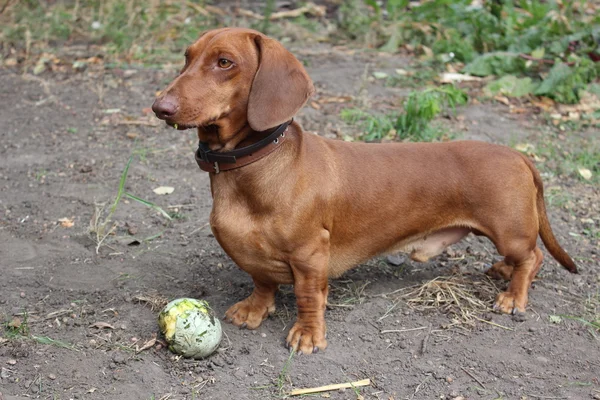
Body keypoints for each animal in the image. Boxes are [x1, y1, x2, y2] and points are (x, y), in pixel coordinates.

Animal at [151, 27, 576, 354]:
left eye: (224, 62)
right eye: (187, 57)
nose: (160, 107)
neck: (256, 166)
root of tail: (517, 154)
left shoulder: (309, 256)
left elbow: (308, 298)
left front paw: (308, 335)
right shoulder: (258, 258)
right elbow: (262, 281)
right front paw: (255, 309)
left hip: (509, 231)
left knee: (533, 257)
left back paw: (514, 296)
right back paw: (502, 271)